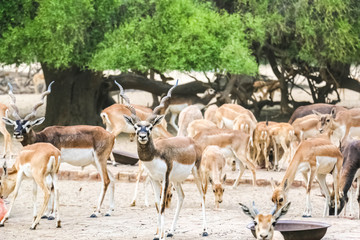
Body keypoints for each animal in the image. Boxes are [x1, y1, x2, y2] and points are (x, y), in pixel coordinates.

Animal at [2, 82, 115, 218]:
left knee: (106, 180)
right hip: (96, 162)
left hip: (100, 160)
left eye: (28, 125)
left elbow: (51, 186)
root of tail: (110, 135)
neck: (43, 138)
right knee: (112, 178)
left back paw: (96, 212)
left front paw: (51, 214)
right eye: (15, 124)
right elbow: (50, 185)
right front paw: (47, 213)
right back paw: (109, 211)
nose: (17, 133)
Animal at [119, 81, 208, 240]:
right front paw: (158, 234)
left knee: (202, 194)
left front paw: (160, 235)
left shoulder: (165, 178)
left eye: (149, 127)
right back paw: (171, 231)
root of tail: (192, 140)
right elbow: (156, 204)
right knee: (181, 197)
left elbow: (161, 205)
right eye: (136, 127)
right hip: (176, 179)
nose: (142, 136)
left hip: (196, 171)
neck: (155, 154)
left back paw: (204, 230)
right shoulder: (154, 179)